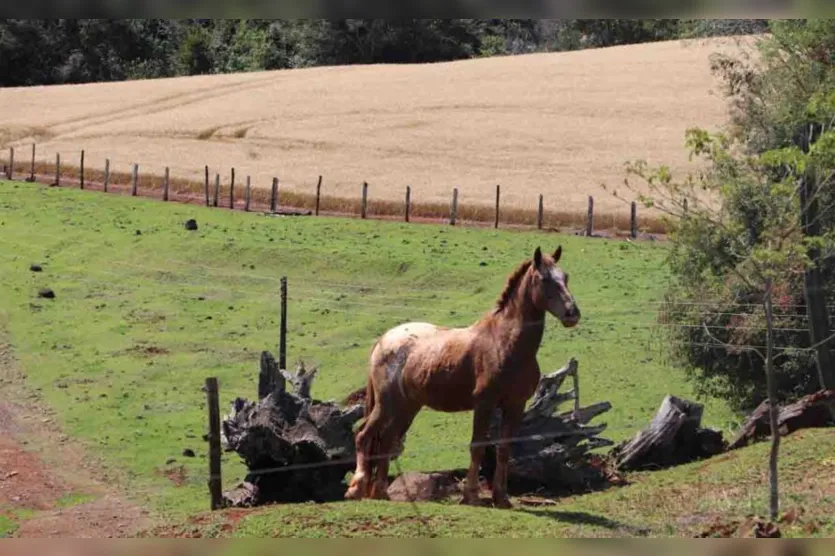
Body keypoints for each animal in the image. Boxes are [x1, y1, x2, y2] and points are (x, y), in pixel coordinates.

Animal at [342, 245, 580, 506]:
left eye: (566, 277)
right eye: (544, 279)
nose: (572, 313)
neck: (504, 343)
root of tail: (384, 339)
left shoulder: (515, 405)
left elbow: (504, 450)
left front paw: (501, 498)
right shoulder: (484, 404)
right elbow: (477, 447)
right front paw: (471, 496)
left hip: (406, 407)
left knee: (386, 441)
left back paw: (380, 493)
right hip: (386, 404)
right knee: (363, 435)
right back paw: (356, 488)